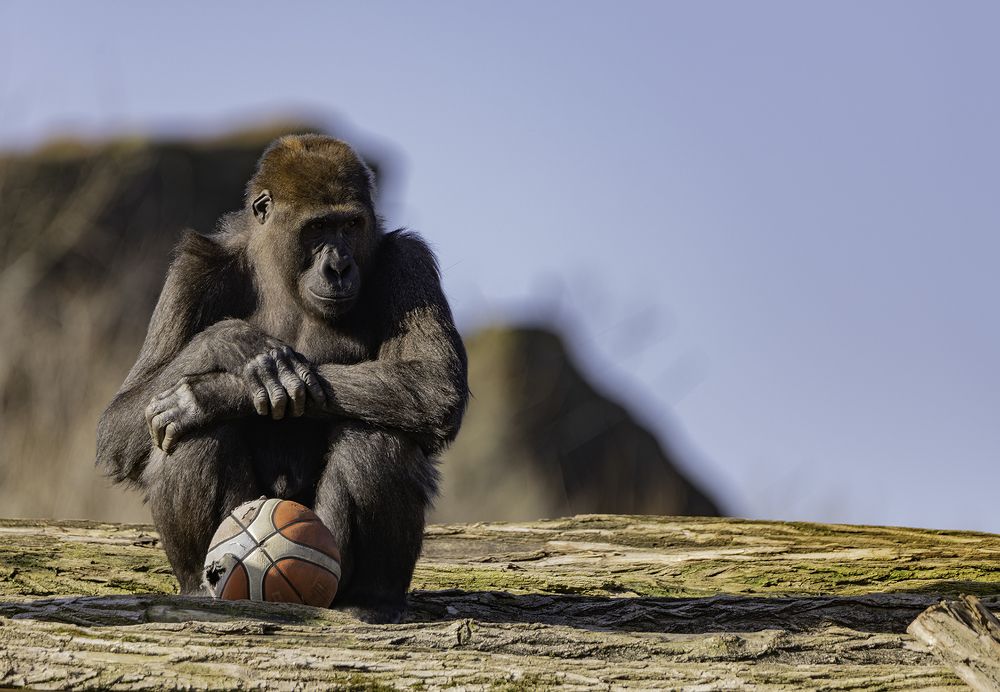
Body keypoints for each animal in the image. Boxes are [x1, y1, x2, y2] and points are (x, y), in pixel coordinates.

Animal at [96, 134, 469, 623]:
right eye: (318, 228)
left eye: (350, 226)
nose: (339, 267)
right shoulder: (193, 267)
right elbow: (121, 419)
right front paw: (232, 342)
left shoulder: (410, 261)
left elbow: (434, 384)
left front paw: (213, 392)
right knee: (188, 435)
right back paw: (200, 590)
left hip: (330, 576)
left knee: (381, 431)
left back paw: (372, 599)